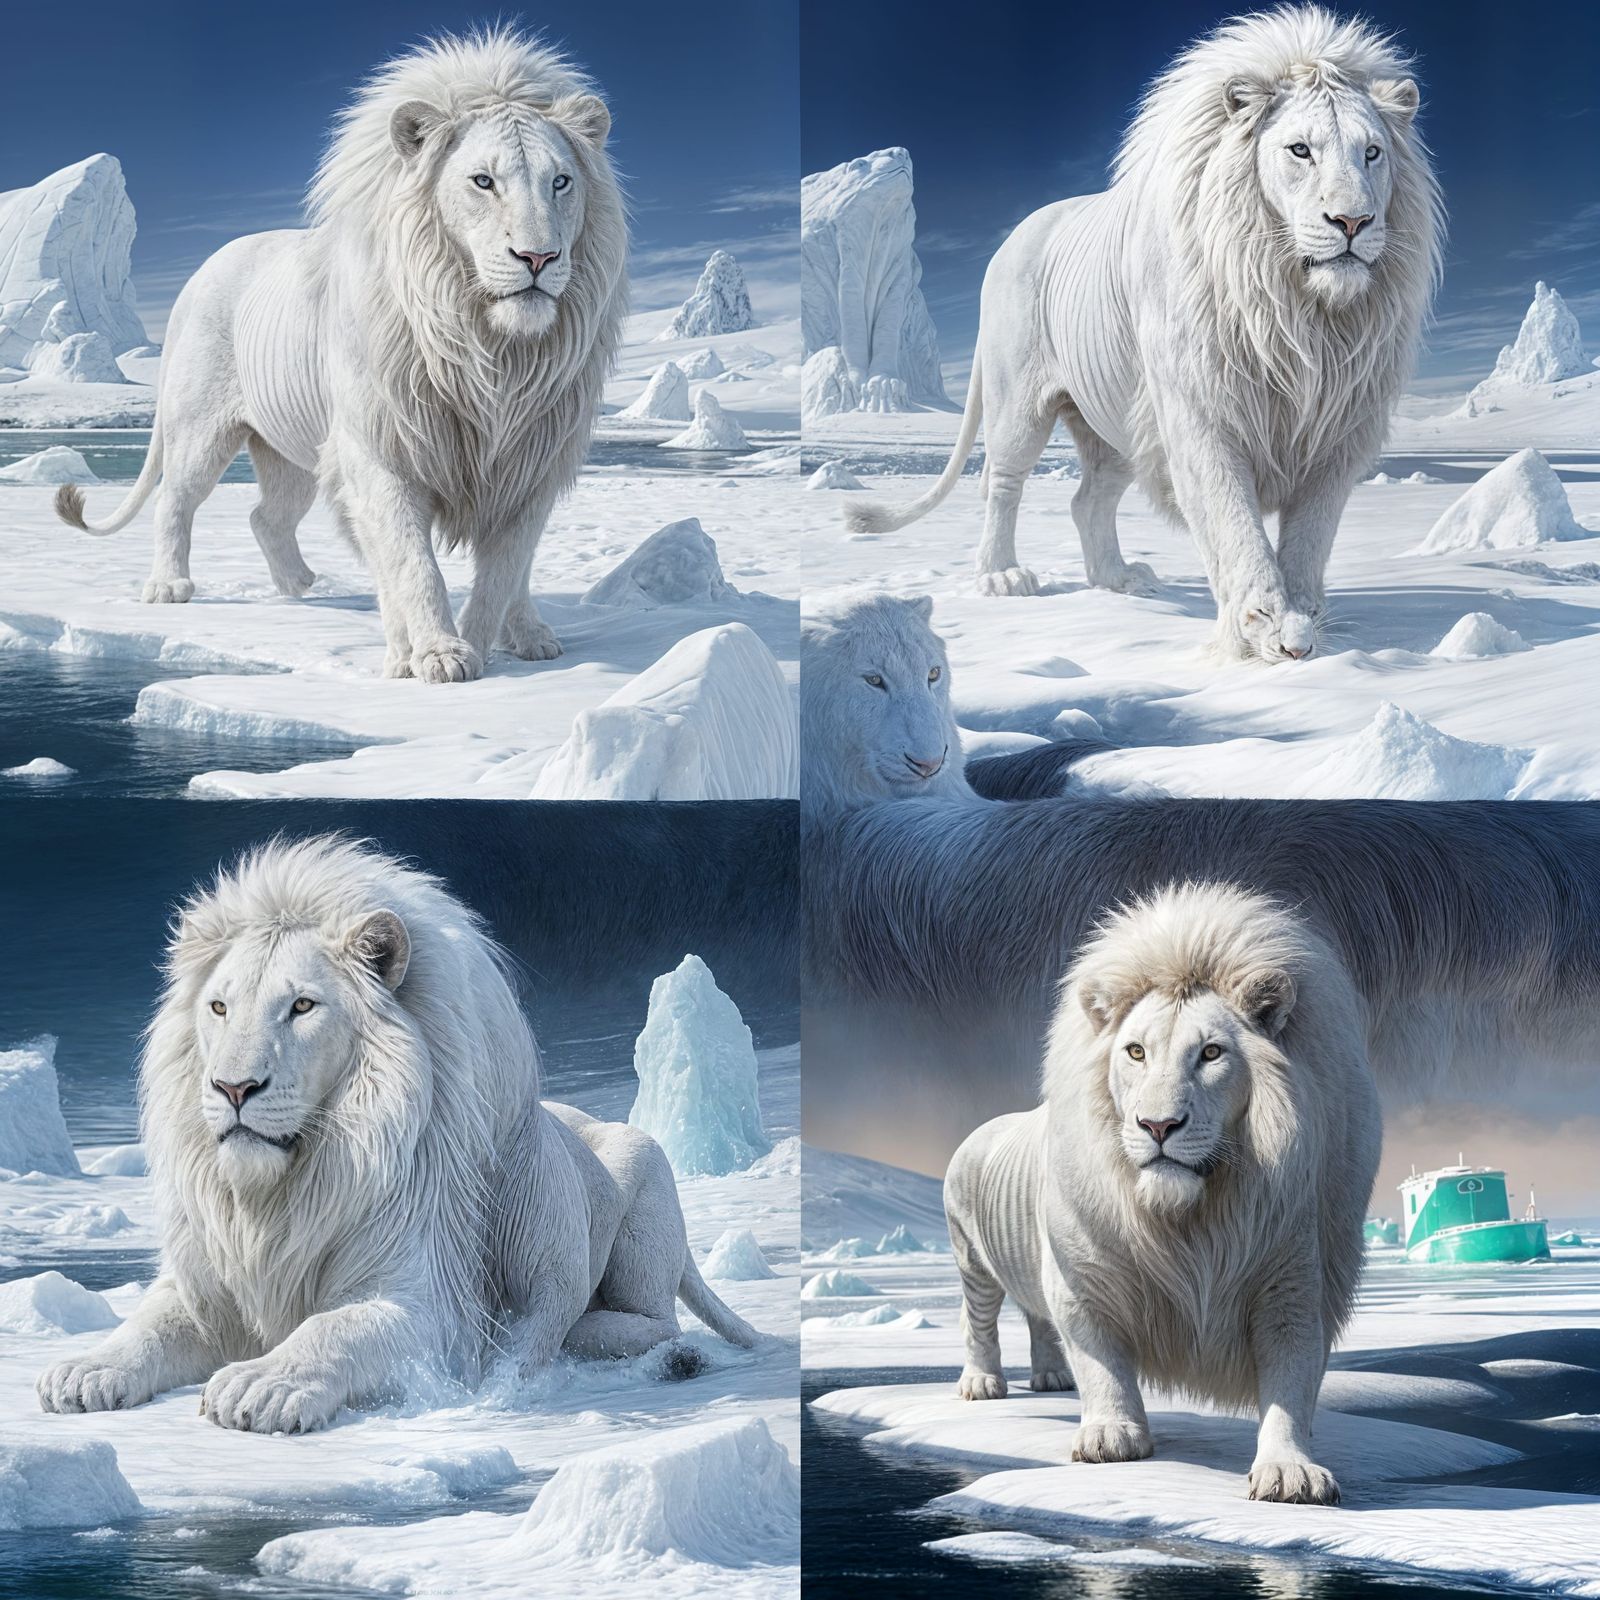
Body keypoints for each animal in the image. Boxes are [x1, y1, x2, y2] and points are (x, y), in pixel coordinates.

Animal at [36, 836, 756, 1434]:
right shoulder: (212, 1285)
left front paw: (261, 1385)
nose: (233, 1089)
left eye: (302, 1006)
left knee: (650, 1323)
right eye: (218, 1007)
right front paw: (82, 1373)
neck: (283, 1192)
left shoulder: (428, 1306)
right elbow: (149, 1324)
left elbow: (335, 1327)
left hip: (644, 1175)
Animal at [55, 29, 627, 684]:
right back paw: (169, 587)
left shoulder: (533, 461)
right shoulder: (382, 449)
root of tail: (201, 271)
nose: (538, 257)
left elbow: (510, 566)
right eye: (483, 181)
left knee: (266, 517)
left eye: (561, 182)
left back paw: (306, 587)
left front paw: (512, 641)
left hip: (289, 452)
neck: (492, 356)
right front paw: (434, 655)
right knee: (175, 500)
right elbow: (409, 560)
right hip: (201, 427)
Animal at [843, 7, 1443, 662]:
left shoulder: (1340, 427)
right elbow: (1232, 520)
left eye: (1372, 152)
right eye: (1300, 150)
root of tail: (1013, 236)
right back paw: (1003, 577)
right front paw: (1261, 627)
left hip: (1114, 424)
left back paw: (1119, 579)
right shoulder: (1202, 409)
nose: (1352, 221)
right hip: (1017, 403)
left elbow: (1312, 536)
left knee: (1088, 500)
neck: (1299, 315)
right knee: (999, 484)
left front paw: (1304, 623)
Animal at [945, 883, 1380, 1503]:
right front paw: (1110, 1437)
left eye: (1212, 1053)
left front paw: (1290, 1471)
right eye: (1135, 1052)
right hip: (970, 1256)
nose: (1158, 1125)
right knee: (978, 1320)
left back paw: (1051, 1377)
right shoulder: (1082, 1276)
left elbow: (1292, 1384)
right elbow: (1101, 1362)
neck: (1190, 1219)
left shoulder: (1292, 1279)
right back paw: (982, 1383)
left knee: (1036, 1319)